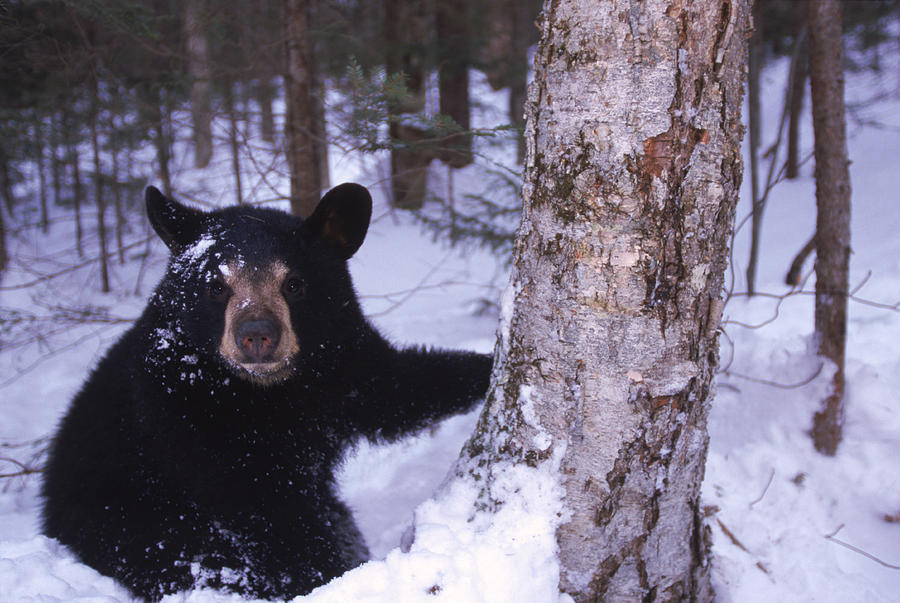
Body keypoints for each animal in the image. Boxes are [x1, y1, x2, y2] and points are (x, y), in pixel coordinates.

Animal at [40, 183, 492, 600]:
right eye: (216, 286)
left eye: (293, 284)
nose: (257, 335)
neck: (269, 393)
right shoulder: (185, 418)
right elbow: (267, 513)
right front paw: (330, 579)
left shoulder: (341, 364)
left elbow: (396, 388)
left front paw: (486, 363)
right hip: (127, 514)